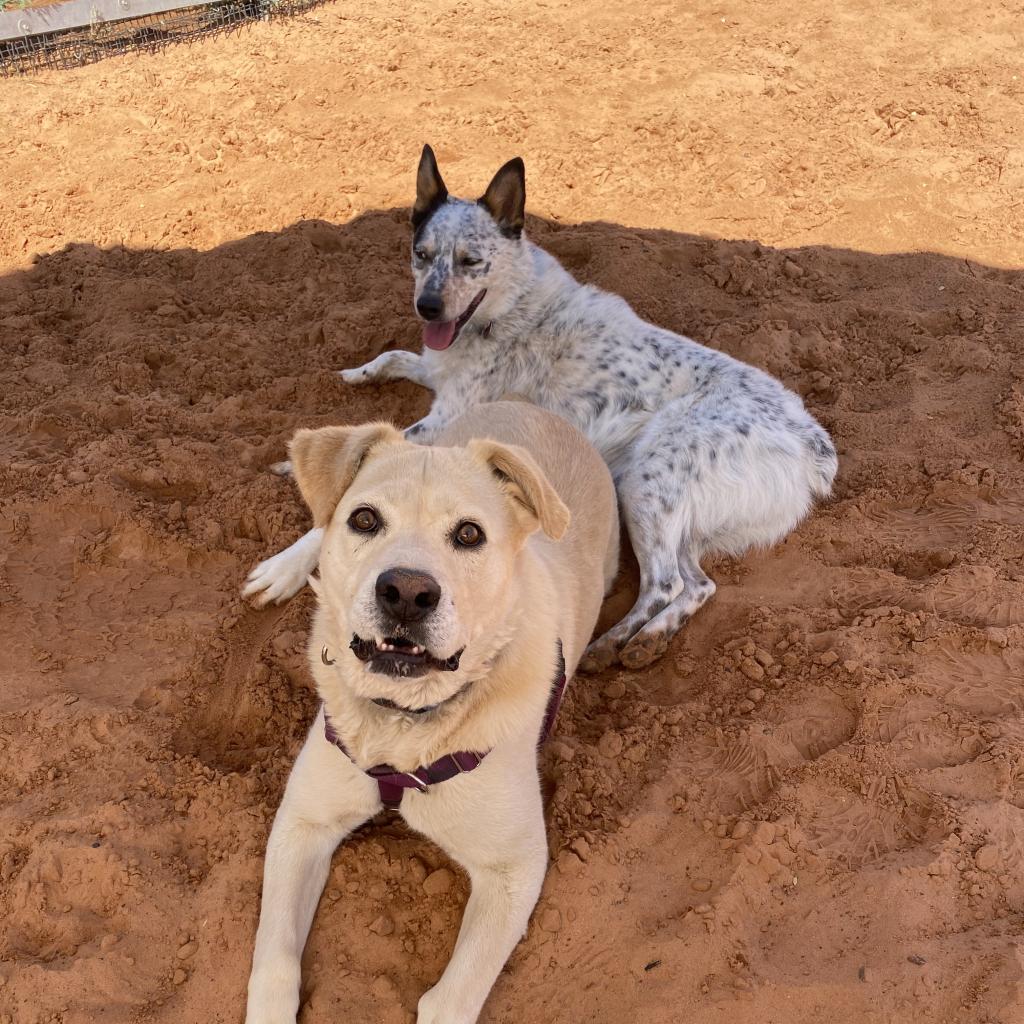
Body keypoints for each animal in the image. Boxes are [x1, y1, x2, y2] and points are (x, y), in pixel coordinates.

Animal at [241, 146, 839, 671]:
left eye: (471, 261)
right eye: (421, 254)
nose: (427, 306)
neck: (504, 307)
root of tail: (812, 442)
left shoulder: (446, 420)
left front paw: (284, 565)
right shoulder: (439, 371)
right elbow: (392, 358)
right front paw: (353, 379)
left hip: (647, 481)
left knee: (667, 583)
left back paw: (613, 643)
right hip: (680, 512)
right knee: (699, 584)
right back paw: (646, 643)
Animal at [246, 397, 614, 1024]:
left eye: (469, 533)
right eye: (365, 520)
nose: (407, 593)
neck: (405, 723)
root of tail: (535, 407)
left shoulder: (515, 869)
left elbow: (450, 999)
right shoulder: (303, 821)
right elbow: (273, 964)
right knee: (318, 517)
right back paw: (282, 568)